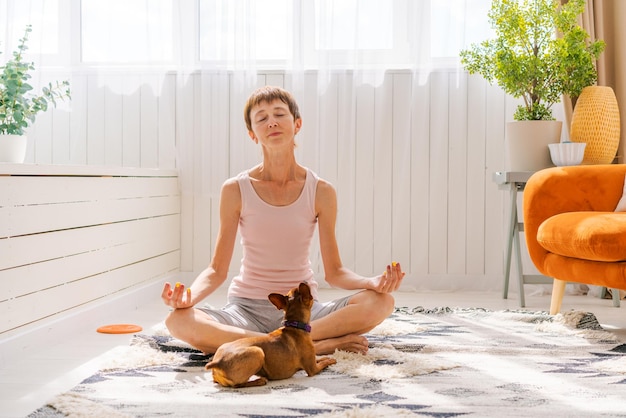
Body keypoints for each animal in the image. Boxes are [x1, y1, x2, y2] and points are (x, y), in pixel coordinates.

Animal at [205, 282, 334, 386]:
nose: (306, 281)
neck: (294, 325)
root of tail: (218, 362)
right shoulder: (313, 369)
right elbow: (324, 363)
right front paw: (331, 360)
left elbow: (319, 359)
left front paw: (325, 357)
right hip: (258, 352)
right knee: (237, 384)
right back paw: (260, 380)